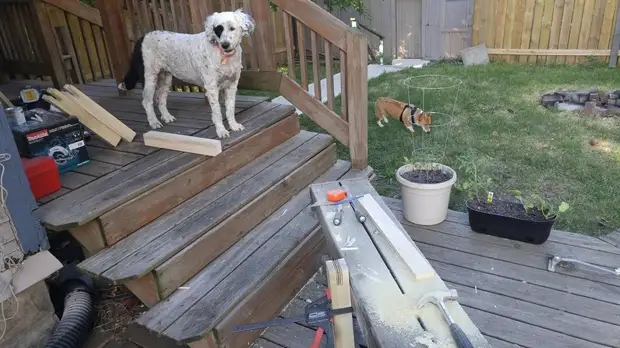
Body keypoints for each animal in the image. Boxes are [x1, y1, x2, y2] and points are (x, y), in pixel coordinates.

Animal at [118, 9, 254, 137]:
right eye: (218, 29)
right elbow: (217, 112)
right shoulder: (212, 88)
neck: (224, 56)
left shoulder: (232, 85)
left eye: (232, 28)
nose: (224, 44)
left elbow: (230, 109)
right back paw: (153, 122)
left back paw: (167, 117)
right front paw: (221, 131)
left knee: (160, 99)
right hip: (149, 78)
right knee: (147, 101)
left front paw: (234, 126)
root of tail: (141, 38)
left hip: (165, 79)